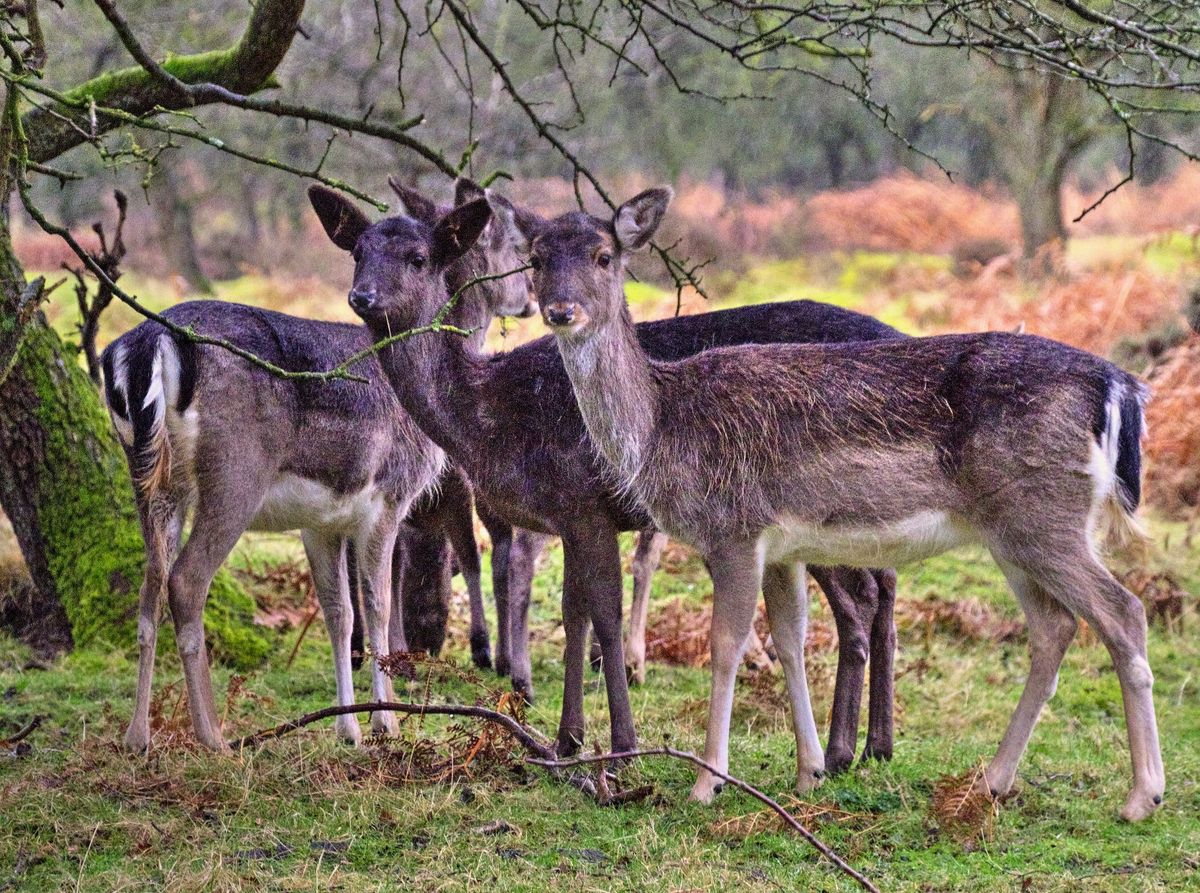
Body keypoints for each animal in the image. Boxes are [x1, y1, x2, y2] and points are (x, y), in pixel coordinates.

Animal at [100, 179, 530, 753]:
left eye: (416, 256)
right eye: (358, 252)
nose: (362, 296)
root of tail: (150, 342)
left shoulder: (319, 520)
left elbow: (337, 612)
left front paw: (349, 727)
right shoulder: (388, 495)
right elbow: (376, 604)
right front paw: (386, 722)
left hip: (150, 477)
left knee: (149, 586)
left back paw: (137, 736)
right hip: (234, 471)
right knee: (186, 581)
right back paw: (214, 738)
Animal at [311, 188, 905, 773]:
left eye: (418, 257)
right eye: (358, 251)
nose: (362, 297)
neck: (492, 416)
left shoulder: (586, 504)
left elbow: (603, 615)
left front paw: (621, 746)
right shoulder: (566, 514)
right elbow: (573, 614)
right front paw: (567, 740)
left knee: (861, 600)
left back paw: (841, 750)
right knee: (878, 589)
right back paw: (873, 744)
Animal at [528, 187, 1163, 822]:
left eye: (604, 255)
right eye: (535, 258)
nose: (561, 309)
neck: (663, 426)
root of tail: (1119, 387)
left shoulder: (734, 527)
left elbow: (726, 645)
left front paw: (708, 782)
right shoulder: (781, 547)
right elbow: (790, 639)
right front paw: (809, 771)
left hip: (1044, 516)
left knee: (1123, 612)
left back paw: (1141, 796)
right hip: (1016, 531)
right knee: (1054, 628)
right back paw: (993, 781)